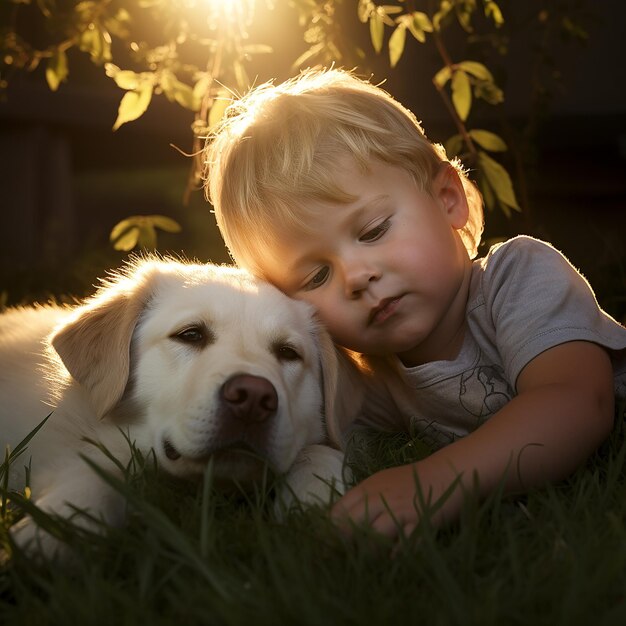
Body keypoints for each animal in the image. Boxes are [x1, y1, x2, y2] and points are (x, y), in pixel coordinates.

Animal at [0, 256, 356, 560]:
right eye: (191, 335)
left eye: (288, 353)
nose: (253, 398)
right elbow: (98, 474)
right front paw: (52, 533)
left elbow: (322, 450)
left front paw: (314, 499)